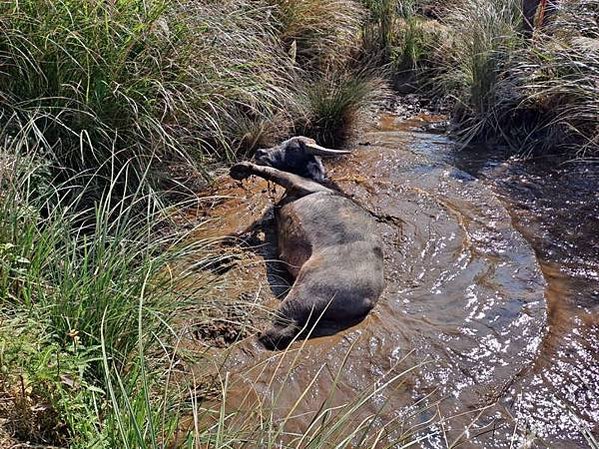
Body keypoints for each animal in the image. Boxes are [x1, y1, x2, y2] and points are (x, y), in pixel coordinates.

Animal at [230, 136, 384, 350]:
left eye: (293, 148)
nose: (260, 152)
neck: (320, 183)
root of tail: (370, 300)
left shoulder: (296, 183)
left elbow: (274, 172)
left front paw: (242, 167)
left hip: (302, 294)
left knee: (276, 331)